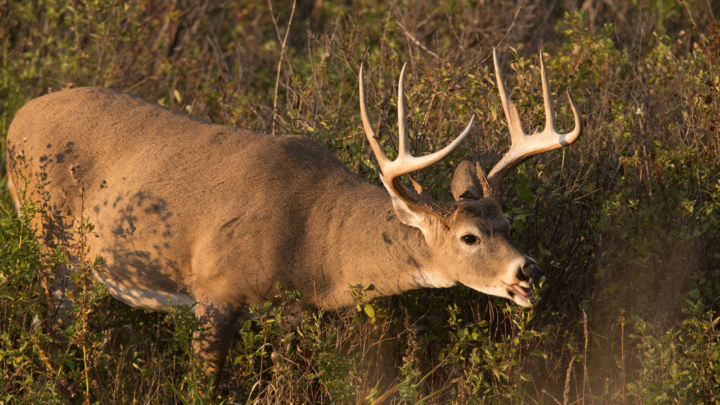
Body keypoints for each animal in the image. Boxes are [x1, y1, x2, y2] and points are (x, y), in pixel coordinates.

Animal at [7, 49, 580, 378]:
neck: (315, 243)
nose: (529, 271)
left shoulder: (290, 313)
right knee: (53, 326)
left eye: (507, 225)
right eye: (469, 237)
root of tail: (15, 119)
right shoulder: (214, 293)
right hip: (51, 242)